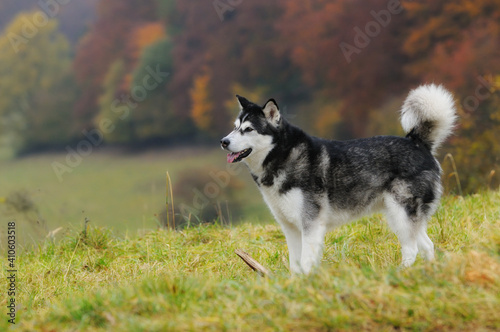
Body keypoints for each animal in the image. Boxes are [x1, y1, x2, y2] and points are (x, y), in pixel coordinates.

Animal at [221, 84, 456, 274]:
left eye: (248, 129)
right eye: (235, 126)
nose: (223, 141)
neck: (282, 155)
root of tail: (416, 142)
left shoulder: (311, 224)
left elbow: (306, 262)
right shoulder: (290, 227)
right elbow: (295, 264)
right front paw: (295, 284)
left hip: (401, 214)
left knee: (412, 249)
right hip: (402, 217)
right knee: (427, 245)